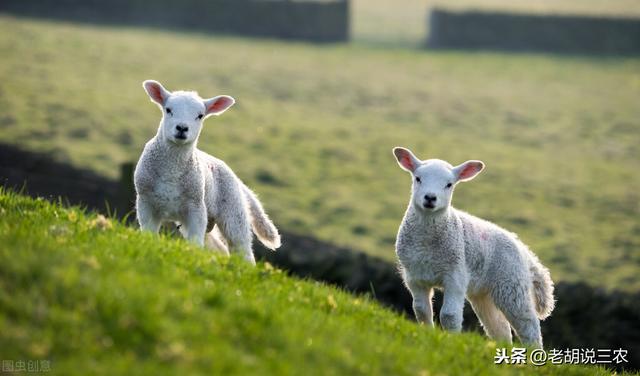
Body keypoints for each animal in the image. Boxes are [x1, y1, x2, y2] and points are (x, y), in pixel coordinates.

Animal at [134, 79, 280, 264]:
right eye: (168, 110)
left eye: (200, 115)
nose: (182, 128)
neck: (171, 170)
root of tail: (237, 180)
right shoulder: (145, 202)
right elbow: (149, 234)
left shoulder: (196, 206)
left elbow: (195, 243)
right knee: (220, 248)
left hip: (233, 212)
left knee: (242, 248)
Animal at [392, 146, 552, 346]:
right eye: (418, 178)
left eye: (449, 184)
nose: (430, 198)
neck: (426, 243)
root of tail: (524, 250)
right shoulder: (414, 276)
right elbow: (421, 310)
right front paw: (427, 334)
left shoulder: (455, 275)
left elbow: (449, 315)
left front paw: (450, 341)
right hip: (483, 294)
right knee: (499, 328)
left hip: (512, 285)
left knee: (528, 324)